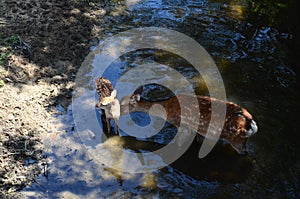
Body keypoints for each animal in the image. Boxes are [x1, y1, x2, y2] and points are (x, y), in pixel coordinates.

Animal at [119, 87, 258, 155]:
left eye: (122, 104)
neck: (166, 110)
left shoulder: (182, 125)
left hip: (236, 138)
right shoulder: (192, 128)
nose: (116, 113)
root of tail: (251, 124)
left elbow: (179, 144)